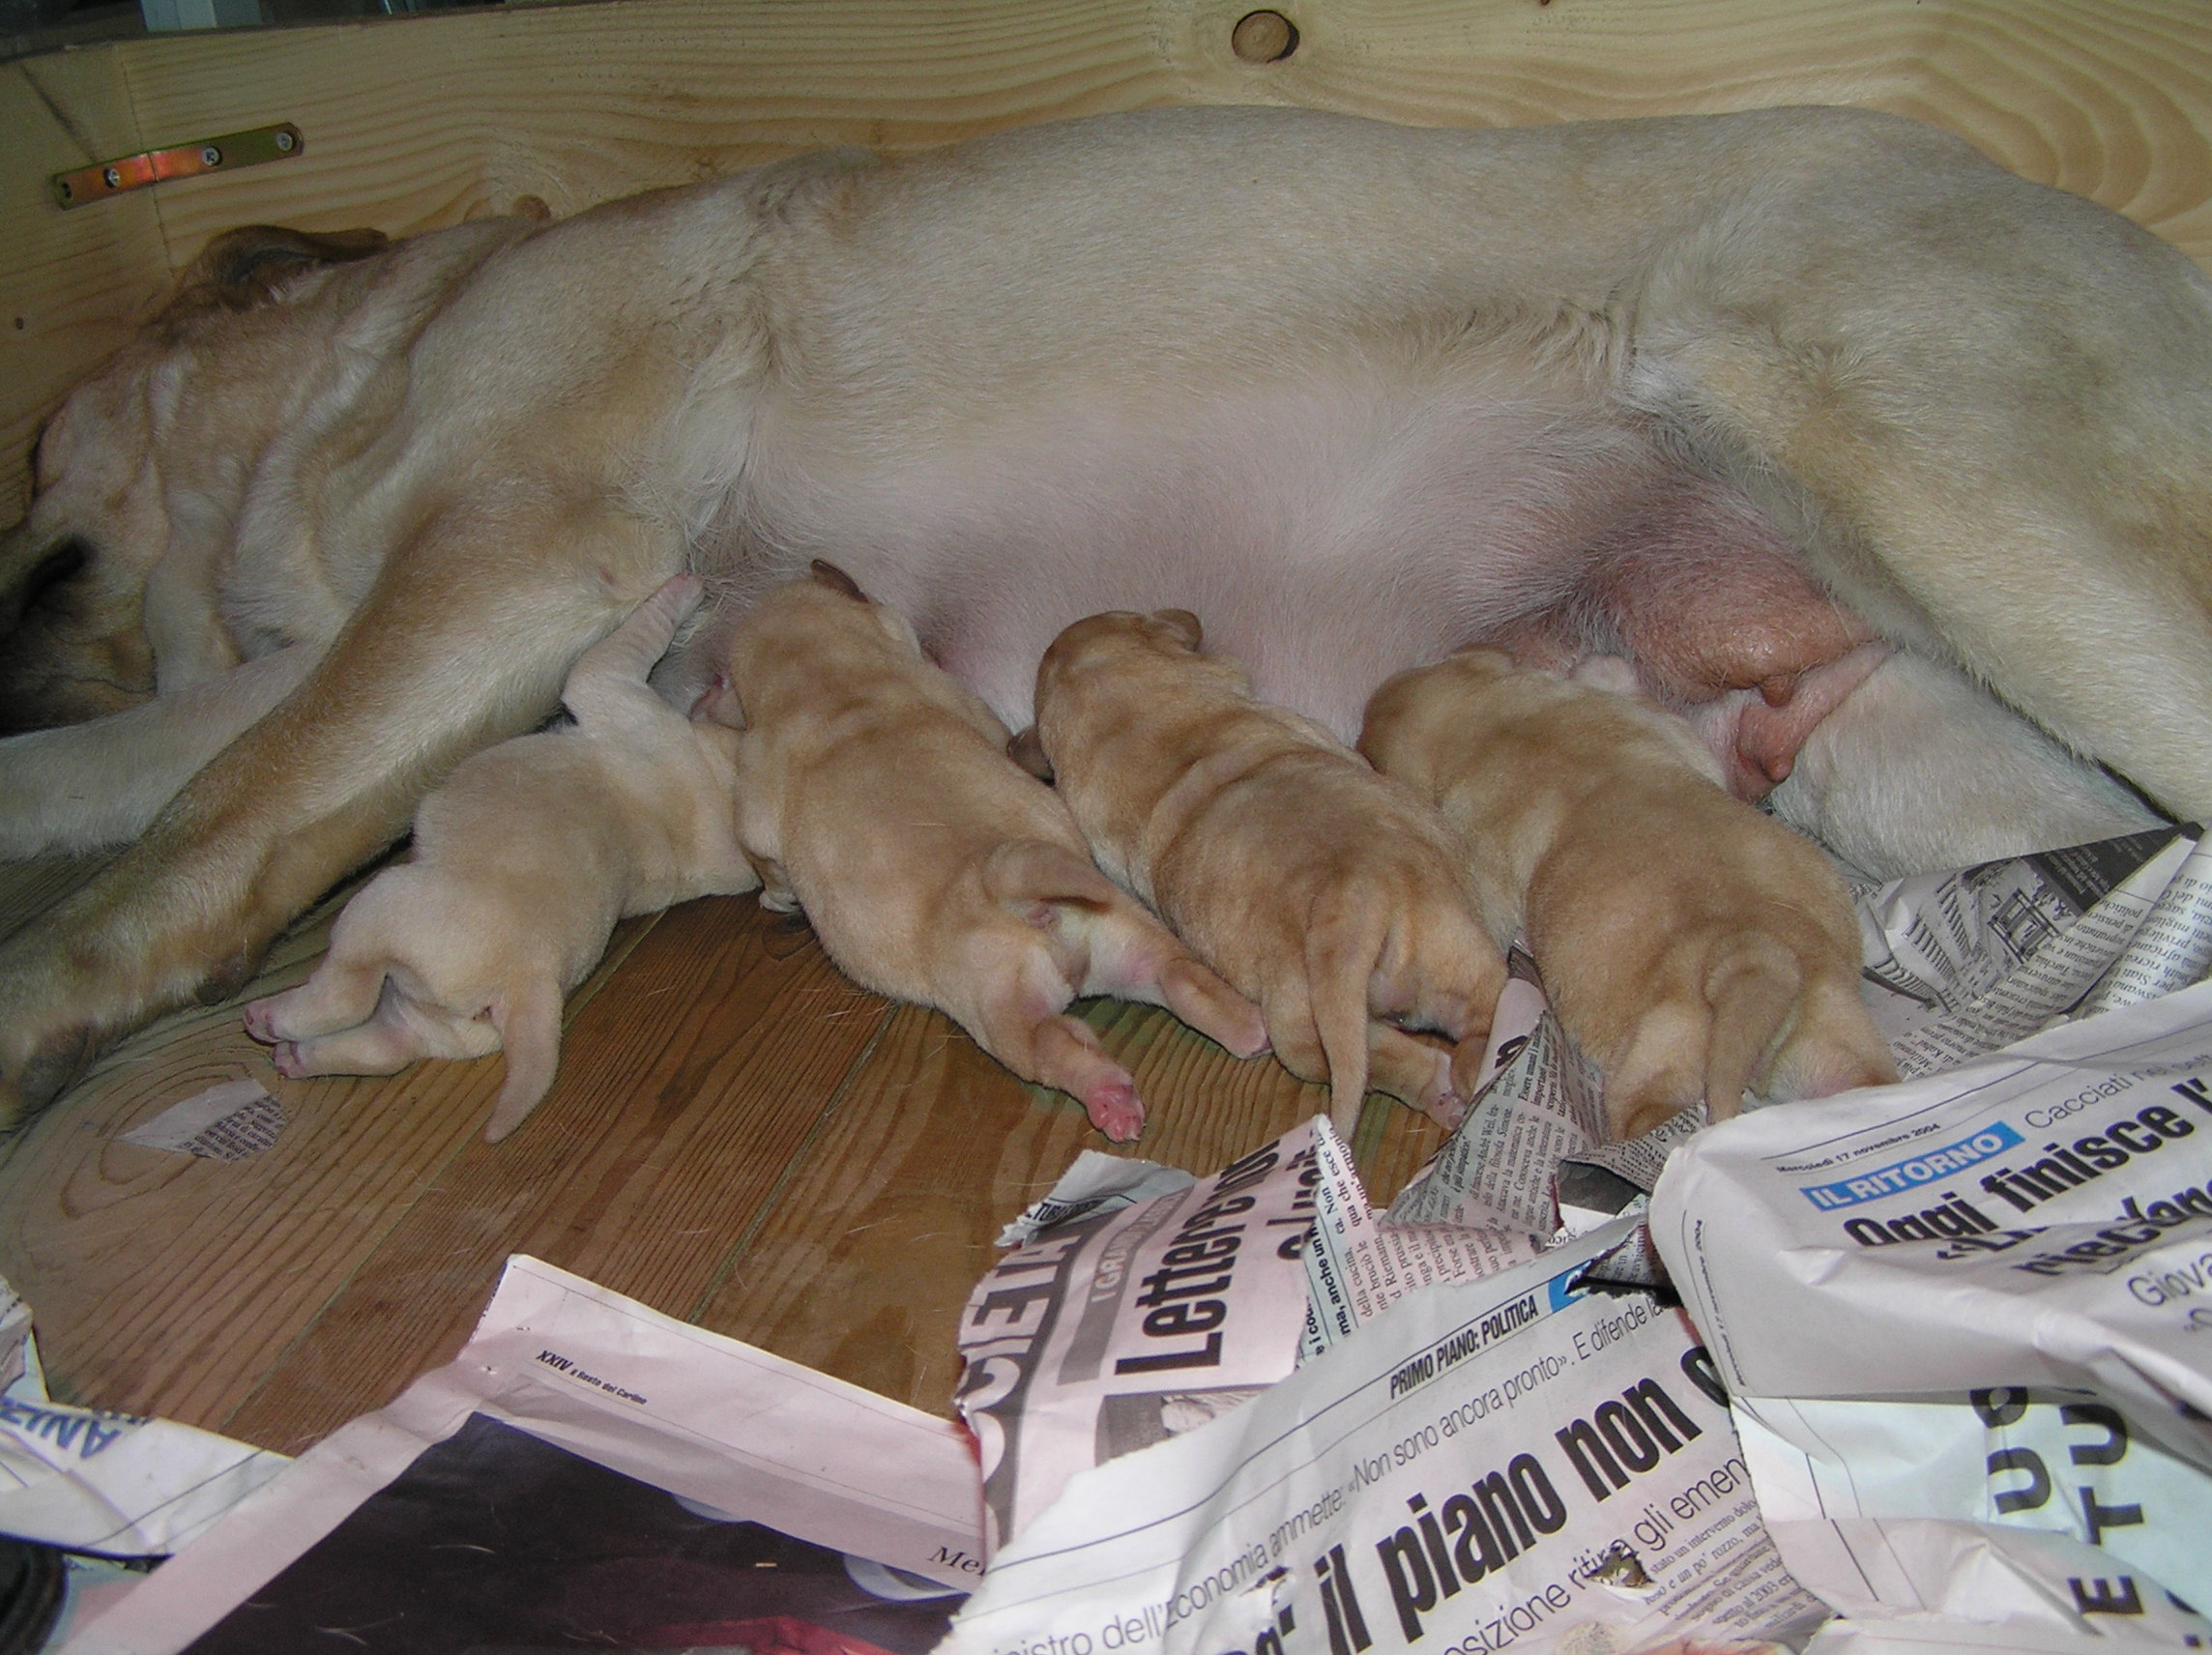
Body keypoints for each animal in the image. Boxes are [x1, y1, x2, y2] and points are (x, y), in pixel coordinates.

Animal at [245, 575, 751, 1142]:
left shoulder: (607, 683)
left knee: (346, 996)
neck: (724, 784)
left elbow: (635, 633)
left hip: (380, 910)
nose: (717, 676)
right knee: (384, 1047)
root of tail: (523, 981)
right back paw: (297, 1058)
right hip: (439, 1024)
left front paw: (682, 589)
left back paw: (271, 1020)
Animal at [708, 555, 1265, 1142]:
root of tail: (1013, 893)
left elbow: (767, 863)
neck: (828, 683)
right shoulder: (968, 706)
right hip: (1124, 936)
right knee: (1176, 975)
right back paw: (1249, 1029)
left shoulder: (755, 797)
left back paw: (1112, 1099)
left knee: (1053, 1046)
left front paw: (774, 899)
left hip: (1001, 1010)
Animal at [1353, 646, 1893, 1142]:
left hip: (1660, 1056)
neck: (1483, 718)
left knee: (1644, 1111)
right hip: (1833, 1029)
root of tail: (1746, 959)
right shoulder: (1657, 725)